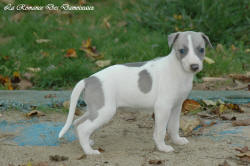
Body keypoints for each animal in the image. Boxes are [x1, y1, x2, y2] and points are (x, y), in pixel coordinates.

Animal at [58, 30, 211, 154]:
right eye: (182, 50)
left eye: (201, 49)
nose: (194, 66)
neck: (179, 70)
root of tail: (88, 80)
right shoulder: (163, 107)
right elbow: (160, 131)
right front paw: (163, 147)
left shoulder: (176, 106)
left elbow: (174, 126)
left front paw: (177, 141)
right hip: (105, 111)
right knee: (83, 128)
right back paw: (89, 151)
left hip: (95, 109)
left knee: (77, 123)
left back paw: (87, 143)